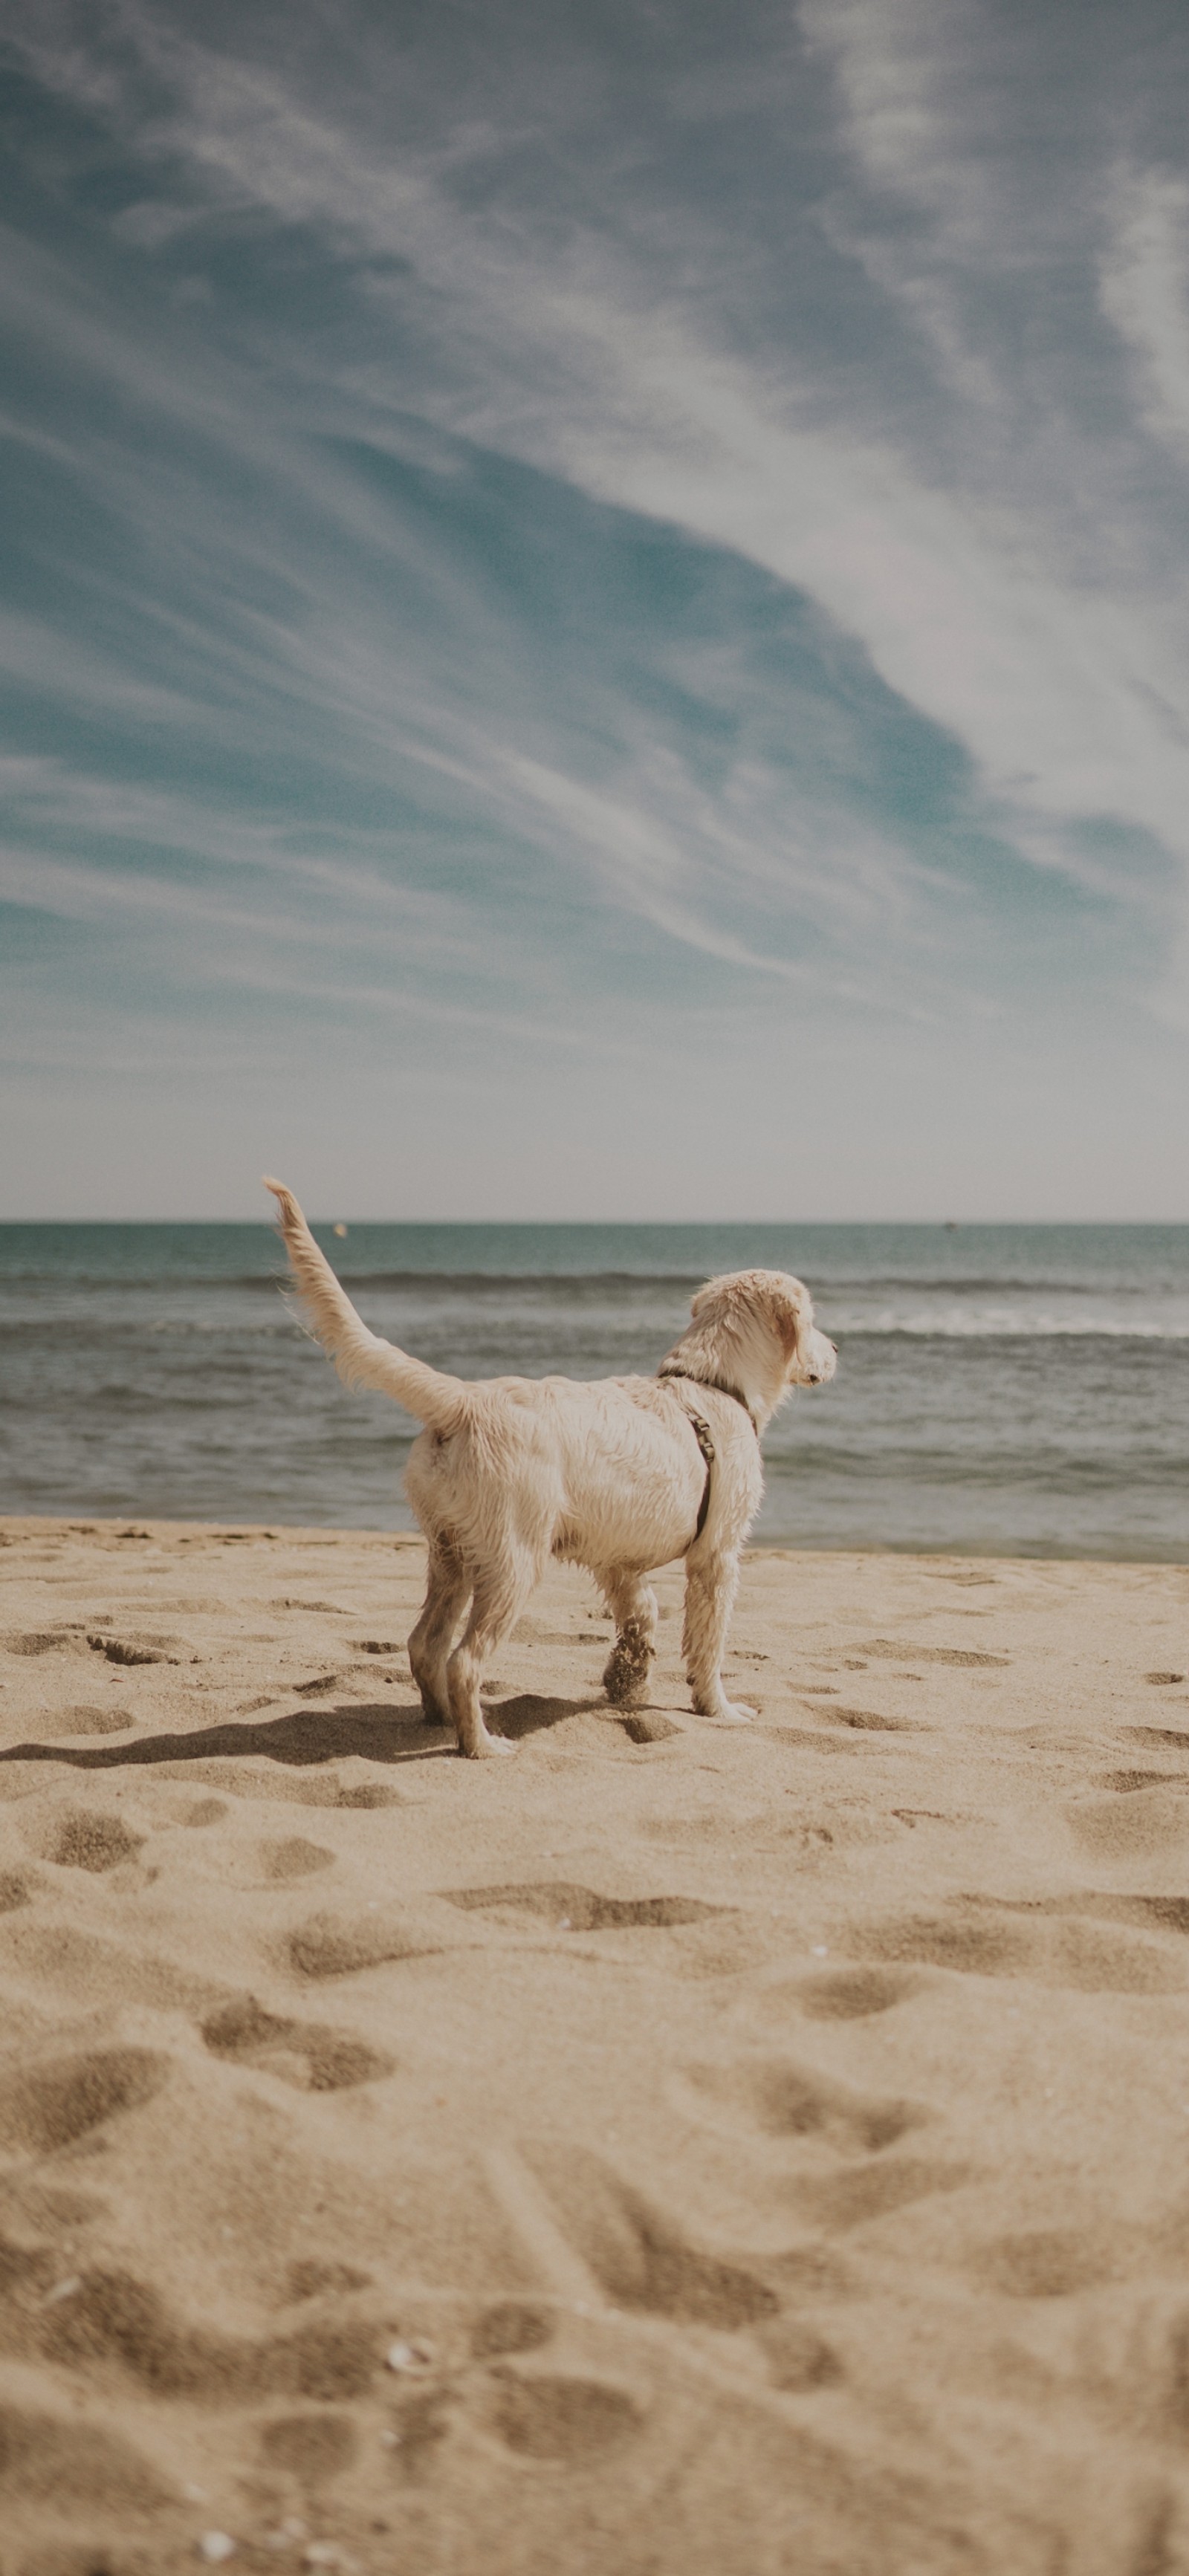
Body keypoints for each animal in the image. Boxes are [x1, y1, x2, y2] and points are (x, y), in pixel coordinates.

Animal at [262, 1179, 835, 1751]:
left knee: (425, 1645)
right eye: (811, 1320)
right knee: (464, 1661)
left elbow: (642, 1614)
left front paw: (627, 1681)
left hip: (451, 1552)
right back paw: (482, 1744)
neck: (713, 1384)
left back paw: (442, 1719)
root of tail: (464, 1400)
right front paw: (719, 1709)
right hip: (514, 1560)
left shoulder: (618, 1559)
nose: (835, 1348)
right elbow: (709, 1642)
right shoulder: (717, 1556)